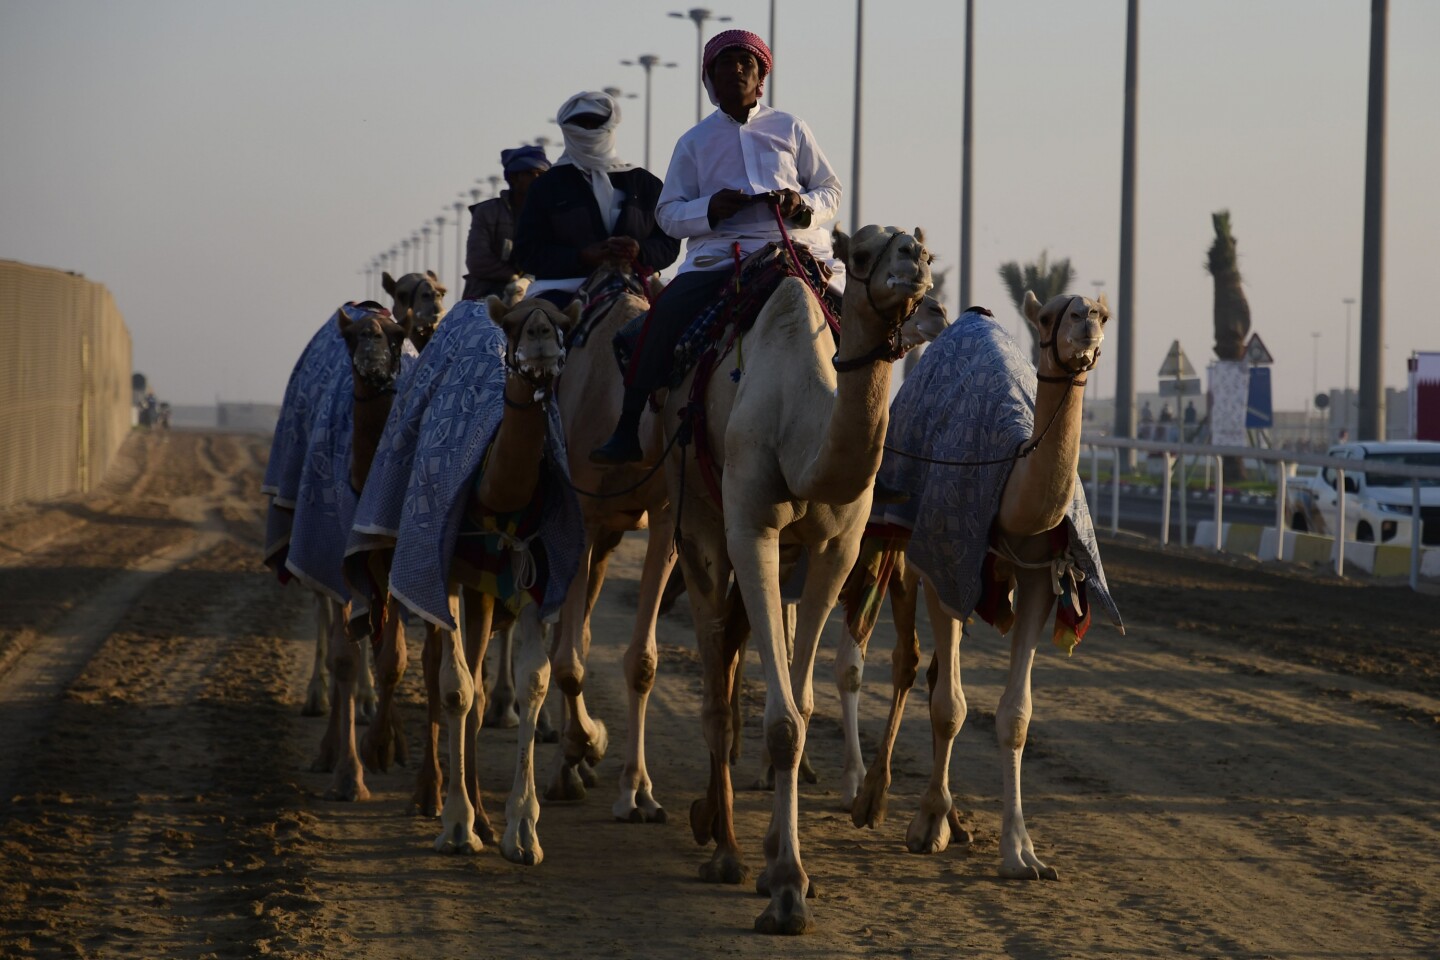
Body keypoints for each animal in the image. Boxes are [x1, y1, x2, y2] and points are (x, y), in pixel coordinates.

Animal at [665, 223, 933, 932]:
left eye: (919, 244)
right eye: (862, 252)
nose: (917, 262)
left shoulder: (837, 548)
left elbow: (804, 704)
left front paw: (786, 870)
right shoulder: (751, 527)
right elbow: (782, 720)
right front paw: (785, 889)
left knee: (735, 657)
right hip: (698, 521)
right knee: (716, 676)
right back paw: (723, 847)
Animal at [840, 295, 1123, 886]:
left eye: (1104, 315)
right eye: (1050, 316)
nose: (1085, 322)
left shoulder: (1041, 577)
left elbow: (1015, 716)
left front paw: (1021, 853)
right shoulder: (945, 567)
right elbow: (950, 706)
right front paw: (926, 825)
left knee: (923, 670)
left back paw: (955, 820)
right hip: (901, 547)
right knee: (905, 662)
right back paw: (872, 797)